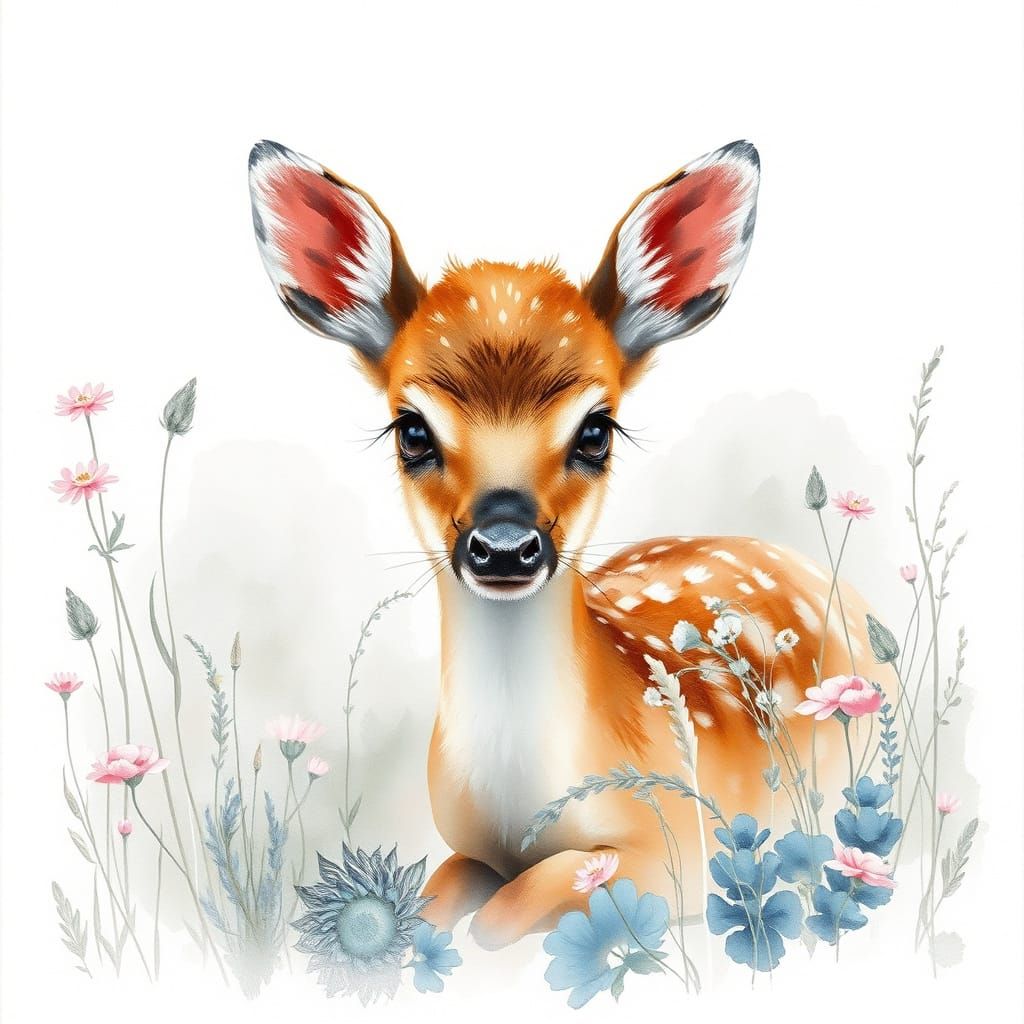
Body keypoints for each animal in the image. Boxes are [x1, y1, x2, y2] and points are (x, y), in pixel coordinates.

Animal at [247, 139, 879, 950]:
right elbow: (438, 901)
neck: (519, 806)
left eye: (596, 430)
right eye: (411, 429)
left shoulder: (675, 841)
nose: (504, 546)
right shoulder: (463, 845)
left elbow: (504, 916)